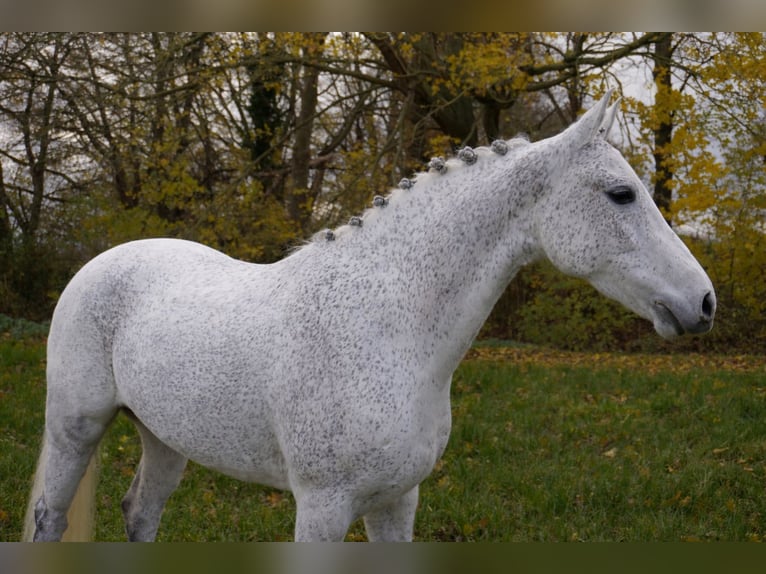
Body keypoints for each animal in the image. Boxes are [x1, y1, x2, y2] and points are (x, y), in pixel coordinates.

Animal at [23, 91, 715, 542]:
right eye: (621, 194)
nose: (703, 303)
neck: (387, 330)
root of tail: (104, 261)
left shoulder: (397, 502)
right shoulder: (322, 508)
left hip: (165, 438)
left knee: (141, 514)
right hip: (75, 428)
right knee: (47, 519)